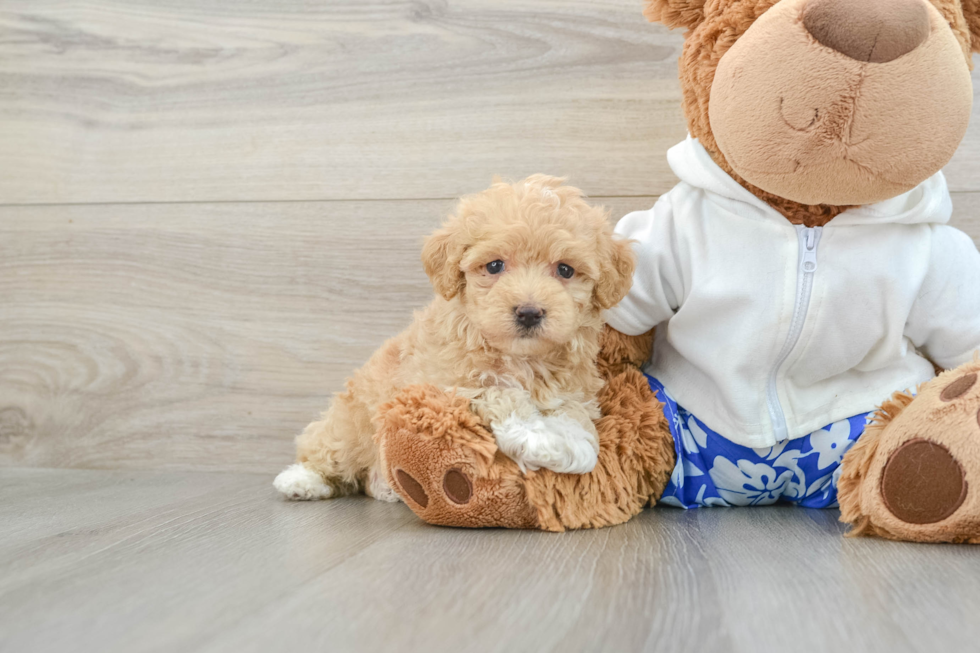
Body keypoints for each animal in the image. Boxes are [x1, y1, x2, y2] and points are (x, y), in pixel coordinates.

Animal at [274, 173, 636, 500]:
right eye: (494, 266)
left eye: (565, 270)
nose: (529, 312)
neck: (521, 358)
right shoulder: (445, 386)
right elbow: (498, 392)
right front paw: (533, 435)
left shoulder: (574, 388)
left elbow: (575, 416)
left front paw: (570, 446)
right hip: (351, 424)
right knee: (327, 449)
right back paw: (302, 480)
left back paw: (385, 486)